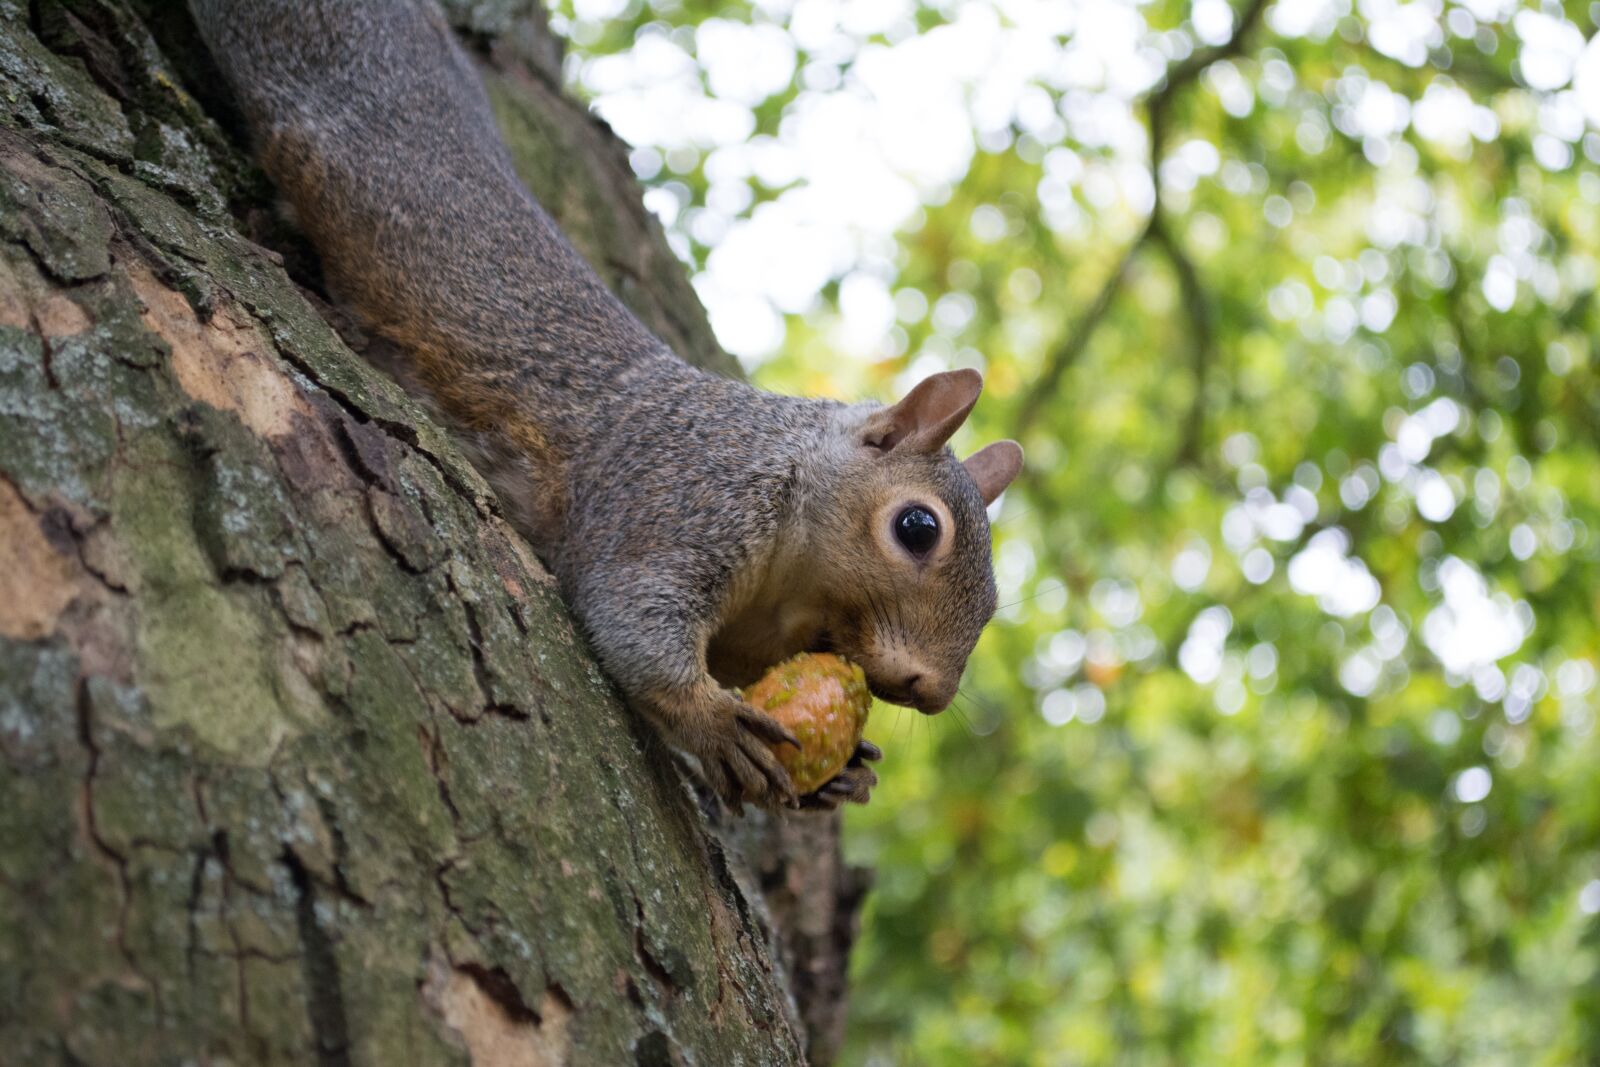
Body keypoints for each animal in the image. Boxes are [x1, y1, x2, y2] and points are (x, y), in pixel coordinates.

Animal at [189, 0, 1022, 812]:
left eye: (994, 601)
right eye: (917, 528)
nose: (932, 691)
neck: (792, 582)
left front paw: (848, 773)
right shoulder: (675, 496)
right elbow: (629, 615)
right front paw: (711, 721)